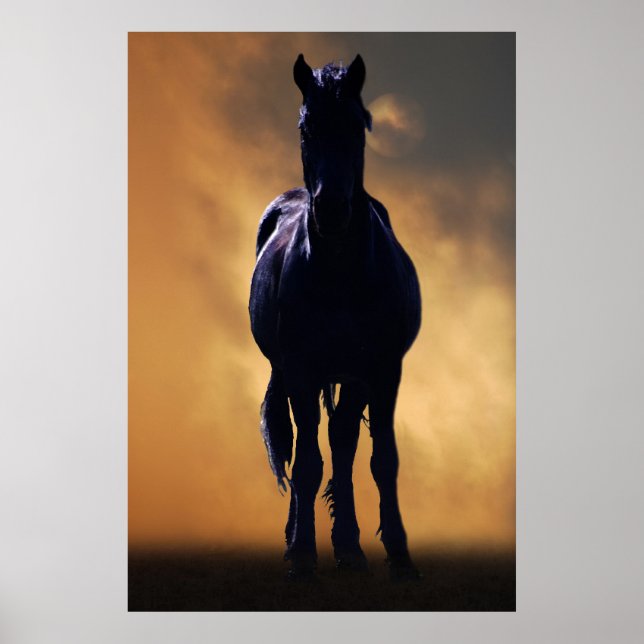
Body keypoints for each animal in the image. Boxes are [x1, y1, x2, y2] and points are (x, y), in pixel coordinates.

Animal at [249, 54, 422, 580]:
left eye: (356, 126)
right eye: (306, 129)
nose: (330, 210)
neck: (343, 273)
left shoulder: (382, 370)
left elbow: (382, 459)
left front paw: (399, 554)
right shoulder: (303, 370)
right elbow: (307, 462)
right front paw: (303, 554)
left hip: (352, 377)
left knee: (343, 442)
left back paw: (349, 547)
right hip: (286, 371)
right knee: (299, 445)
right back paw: (301, 539)